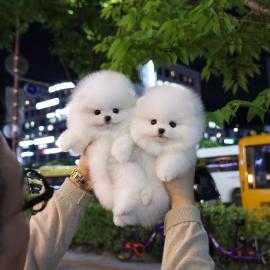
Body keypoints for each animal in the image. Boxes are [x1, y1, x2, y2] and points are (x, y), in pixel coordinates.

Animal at [58, 70, 152, 214]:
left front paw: (120, 154)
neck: (106, 133)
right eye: (97, 112)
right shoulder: (85, 140)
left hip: (128, 174)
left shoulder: (129, 134)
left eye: (116, 110)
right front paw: (64, 142)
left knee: (130, 193)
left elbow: (123, 140)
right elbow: (77, 136)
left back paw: (121, 208)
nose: (107, 117)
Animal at [112, 84, 205, 226]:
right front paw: (120, 153)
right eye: (153, 122)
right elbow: (127, 139)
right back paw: (120, 212)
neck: (157, 148)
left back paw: (123, 215)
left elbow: (172, 159)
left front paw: (164, 174)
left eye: (172, 124)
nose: (161, 130)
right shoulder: (137, 145)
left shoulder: (183, 152)